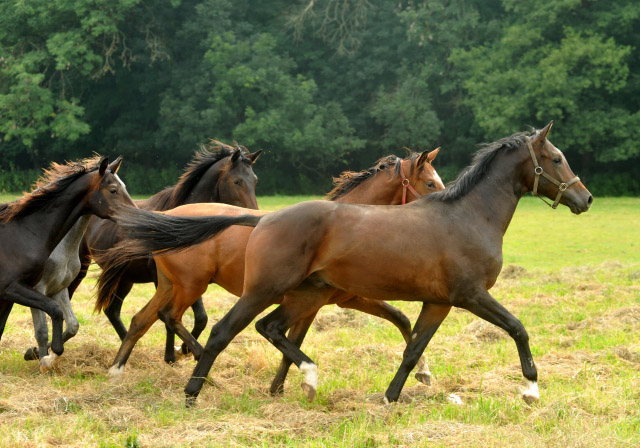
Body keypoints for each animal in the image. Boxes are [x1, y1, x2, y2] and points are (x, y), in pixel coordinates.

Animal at [0, 156, 135, 362]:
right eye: (113, 190)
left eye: (125, 187)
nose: (136, 215)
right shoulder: (28, 288)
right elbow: (42, 329)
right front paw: (42, 358)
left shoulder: (58, 288)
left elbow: (72, 325)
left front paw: (41, 354)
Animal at [55, 140, 262, 364]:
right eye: (236, 181)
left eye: (255, 180)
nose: (255, 214)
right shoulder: (169, 279)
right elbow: (175, 317)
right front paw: (172, 354)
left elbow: (200, 318)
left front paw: (182, 350)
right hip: (83, 267)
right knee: (71, 297)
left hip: (126, 277)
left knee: (112, 311)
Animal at [97, 149, 444, 390]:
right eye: (429, 183)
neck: (340, 226)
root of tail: (168, 218)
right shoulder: (336, 300)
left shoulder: (329, 302)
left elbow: (399, 320)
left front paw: (278, 389)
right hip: (192, 286)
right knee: (170, 317)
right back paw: (196, 363)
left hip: (170, 285)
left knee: (141, 319)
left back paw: (116, 371)